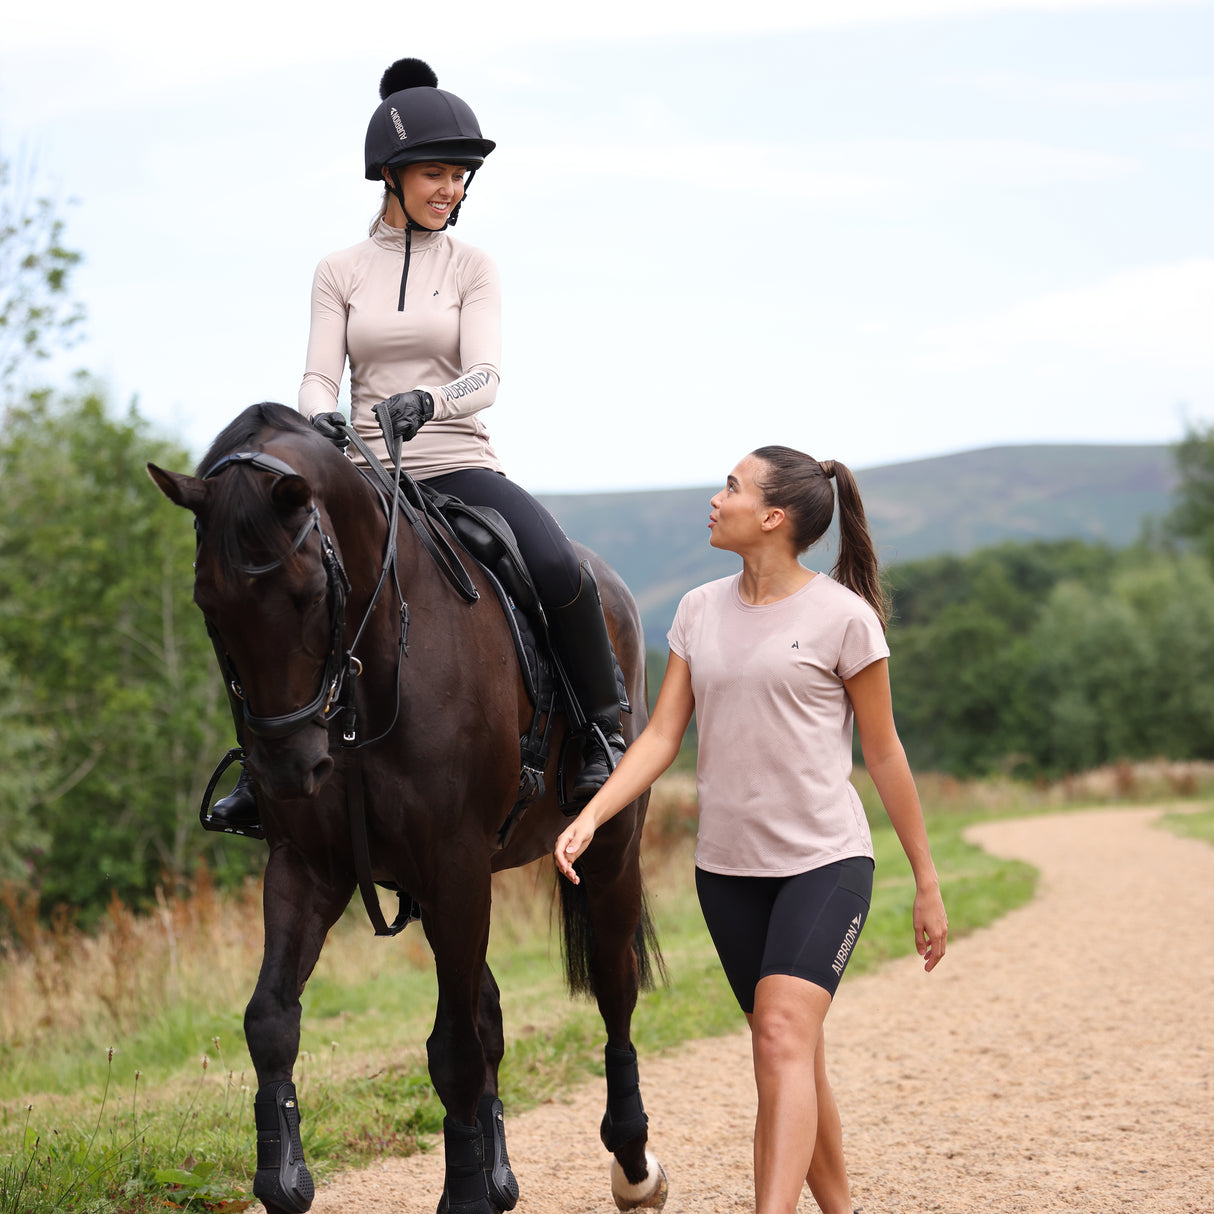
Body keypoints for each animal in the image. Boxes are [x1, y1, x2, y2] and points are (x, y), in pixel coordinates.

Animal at [149, 407, 674, 1214]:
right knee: (488, 1010)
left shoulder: (455, 864)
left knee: (613, 989)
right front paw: (282, 1174)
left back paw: (632, 1160)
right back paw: (498, 1172)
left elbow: (453, 1049)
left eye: (308, 595)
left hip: (605, 851)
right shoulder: (312, 865)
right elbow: (270, 1018)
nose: (287, 769)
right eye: (211, 606)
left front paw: (462, 1195)